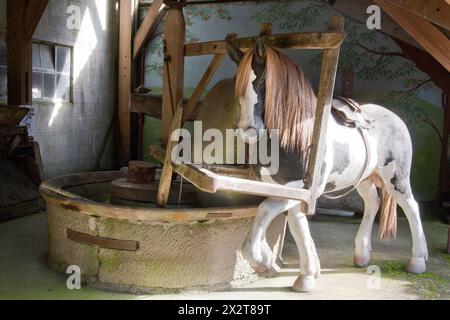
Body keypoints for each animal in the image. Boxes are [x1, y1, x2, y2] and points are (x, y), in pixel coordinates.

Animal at [229, 39, 428, 292]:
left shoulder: (300, 188)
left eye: (263, 80)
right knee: (373, 203)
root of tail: (395, 118)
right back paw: (362, 255)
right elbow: (295, 224)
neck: (297, 136)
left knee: (412, 207)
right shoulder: (287, 190)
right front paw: (306, 274)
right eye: (236, 82)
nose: (248, 129)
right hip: (363, 179)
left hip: (397, 179)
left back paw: (418, 261)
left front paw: (263, 261)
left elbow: (265, 210)